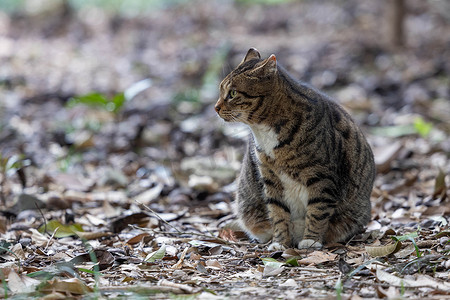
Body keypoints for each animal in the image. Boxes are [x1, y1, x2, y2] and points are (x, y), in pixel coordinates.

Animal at [215, 48, 376, 251]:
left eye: (233, 93)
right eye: (221, 90)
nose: (215, 107)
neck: (264, 131)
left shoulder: (322, 176)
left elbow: (318, 210)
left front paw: (311, 240)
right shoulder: (270, 176)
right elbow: (277, 211)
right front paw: (280, 242)